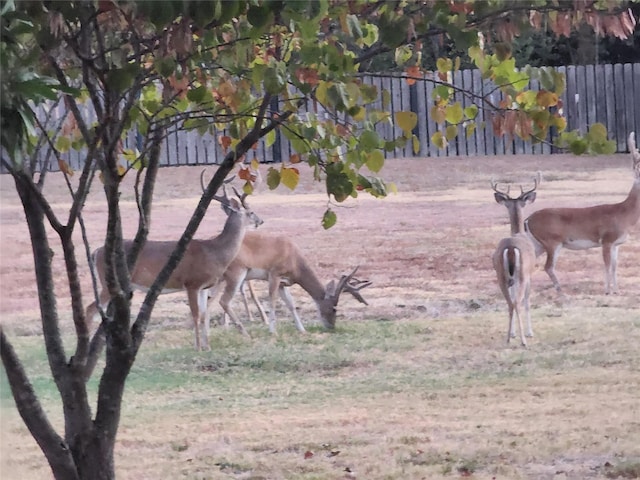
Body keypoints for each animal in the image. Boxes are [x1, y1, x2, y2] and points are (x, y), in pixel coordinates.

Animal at [85, 184, 262, 348]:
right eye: (251, 212)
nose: (261, 221)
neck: (214, 251)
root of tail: (96, 252)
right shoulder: (192, 283)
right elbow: (196, 315)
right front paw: (198, 347)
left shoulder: (204, 287)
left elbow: (204, 315)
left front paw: (207, 347)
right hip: (107, 282)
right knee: (90, 309)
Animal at [490, 178, 540, 346]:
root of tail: (511, 247)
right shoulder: (530, 275)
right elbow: (527, 302)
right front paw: (530, 332)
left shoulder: (511, 279)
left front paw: (513, 333)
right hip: (522, 274)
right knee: (517, 302)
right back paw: (524, 340)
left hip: (501, 275)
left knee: (510, 303)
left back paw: (508, 338)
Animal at [524, 132, 640, 296]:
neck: (623, 213)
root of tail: (527, 220)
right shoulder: (606, 240)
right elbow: (607, 266)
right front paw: (607, 291)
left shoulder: (616, 244)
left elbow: (615, 267)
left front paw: (617, 291)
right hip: (552, 241)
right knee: (548, 266)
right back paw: (561, 292)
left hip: (538, 244)